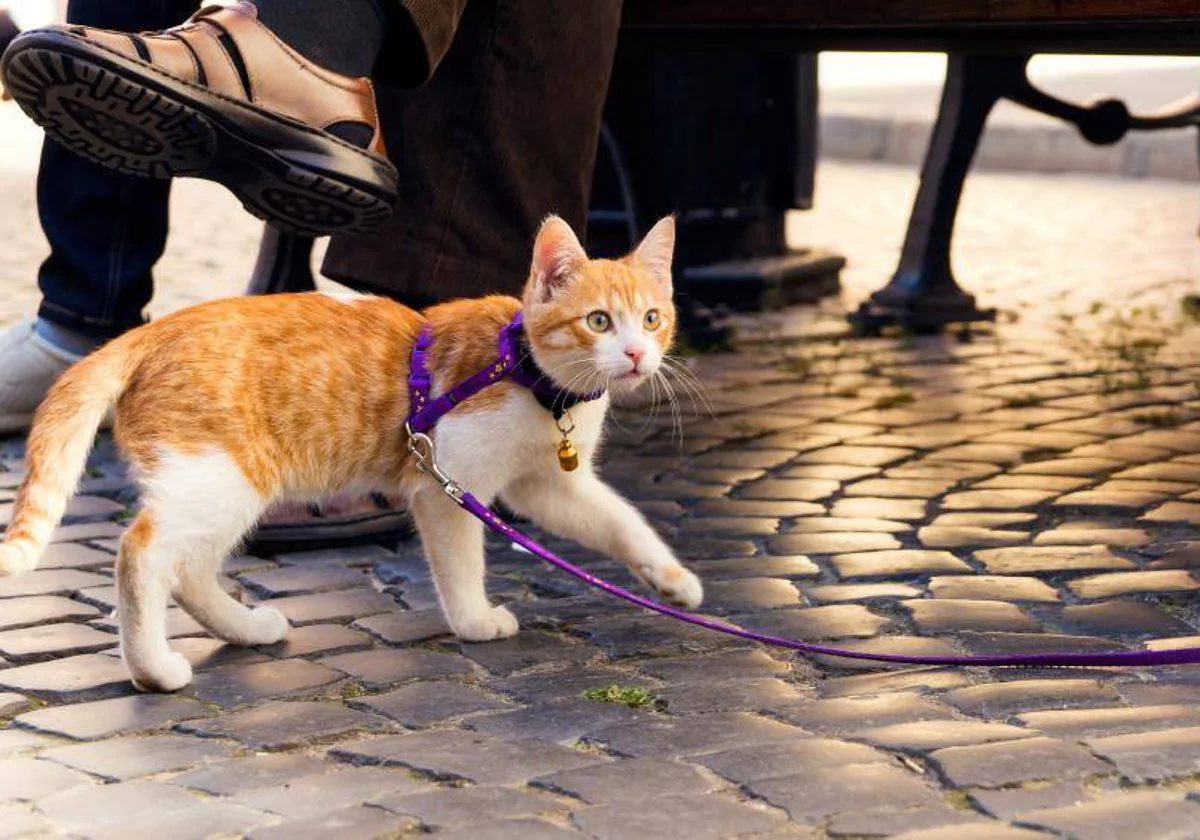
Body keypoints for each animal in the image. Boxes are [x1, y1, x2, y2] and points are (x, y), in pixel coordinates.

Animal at [0, 214, 700, 691]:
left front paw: (672, 579)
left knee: (190, 570)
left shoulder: (547, 486)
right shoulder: (447, 484)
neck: (536, 381)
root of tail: (151, 330)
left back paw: (246, 630)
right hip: (220, 479)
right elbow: (461, 566)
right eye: (599, 321)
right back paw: (154, 669)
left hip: (221, 487)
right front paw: (474, 621)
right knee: (141, 554)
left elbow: (619, 521)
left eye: (653, 318)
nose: (637, 355)